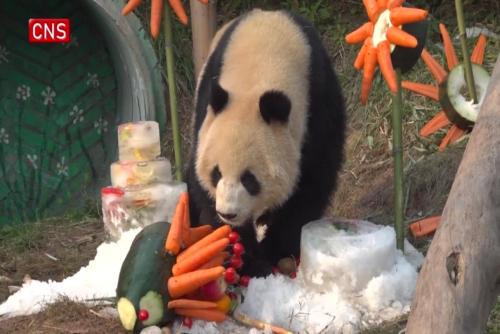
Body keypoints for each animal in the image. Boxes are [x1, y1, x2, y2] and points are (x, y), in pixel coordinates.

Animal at [186, 9, 346, 278]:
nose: (228, 213)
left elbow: (310, 184)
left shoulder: (316, 105)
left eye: (250, 179)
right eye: (216, 173)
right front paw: (245, 258)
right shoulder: (206, 112)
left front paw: (274, 252)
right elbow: (201, 189)